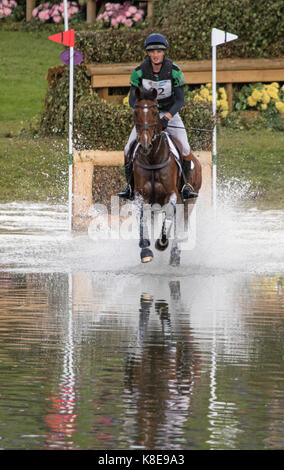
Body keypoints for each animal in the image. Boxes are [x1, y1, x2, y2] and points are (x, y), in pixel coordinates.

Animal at [131, 87, 202, 264]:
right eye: (136, 112)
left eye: (155, 112)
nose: (145, 144)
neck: (153, 158)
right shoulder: (140, 195)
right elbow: (142, 219)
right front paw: (146, 250)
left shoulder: (172, 194)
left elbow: (169, 215)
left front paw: (162, 242)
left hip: (189, 203)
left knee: (180, 225)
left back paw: (175, 254)